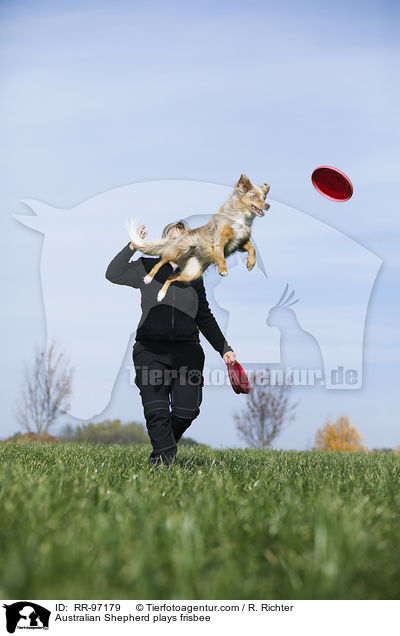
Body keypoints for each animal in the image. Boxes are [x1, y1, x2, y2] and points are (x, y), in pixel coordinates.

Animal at [126, 174, 268, 304]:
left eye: (264, 197)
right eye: (255, 197)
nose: (268, 205)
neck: (241, 218)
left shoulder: (240, 242)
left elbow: (252, 249)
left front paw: (250, 263)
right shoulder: (220, 240)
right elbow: (221, 257)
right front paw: (223, 269)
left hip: (191, 273)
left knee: (171, 277)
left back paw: (161, 294)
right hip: (175, 252)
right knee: (159, 263)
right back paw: (148, 278)